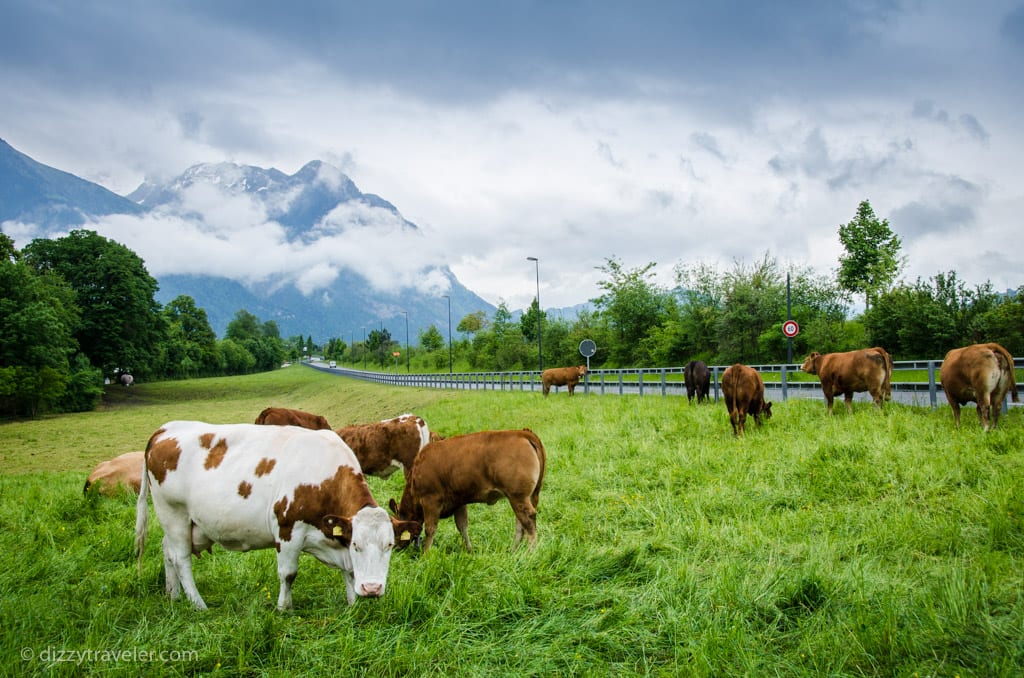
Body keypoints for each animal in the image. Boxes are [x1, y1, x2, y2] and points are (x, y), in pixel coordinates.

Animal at [135, 421, 419, 614]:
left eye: (389, 545)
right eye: (357, 545)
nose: (372, 589)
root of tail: (167, 429)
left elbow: (348, 571)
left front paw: (351, 604)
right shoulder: (288, 529)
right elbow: (288, 574)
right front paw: (284, 609)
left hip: (185, 525)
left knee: (167, 551)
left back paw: (173, 595)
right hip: (174, 514)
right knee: (181, 559)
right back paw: (198, 604)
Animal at [387, 432, 544, 557]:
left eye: (393, 530)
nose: (394, 548)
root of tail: (521, 433)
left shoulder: (430, 501)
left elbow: (430, 529)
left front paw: (425, 555)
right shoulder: (458, 502)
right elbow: (462, 526)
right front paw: (469, 551)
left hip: (518, 496)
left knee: (528, 520)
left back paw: (531, 553)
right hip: (524, 497)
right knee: (520, 524)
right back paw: (513, 551)